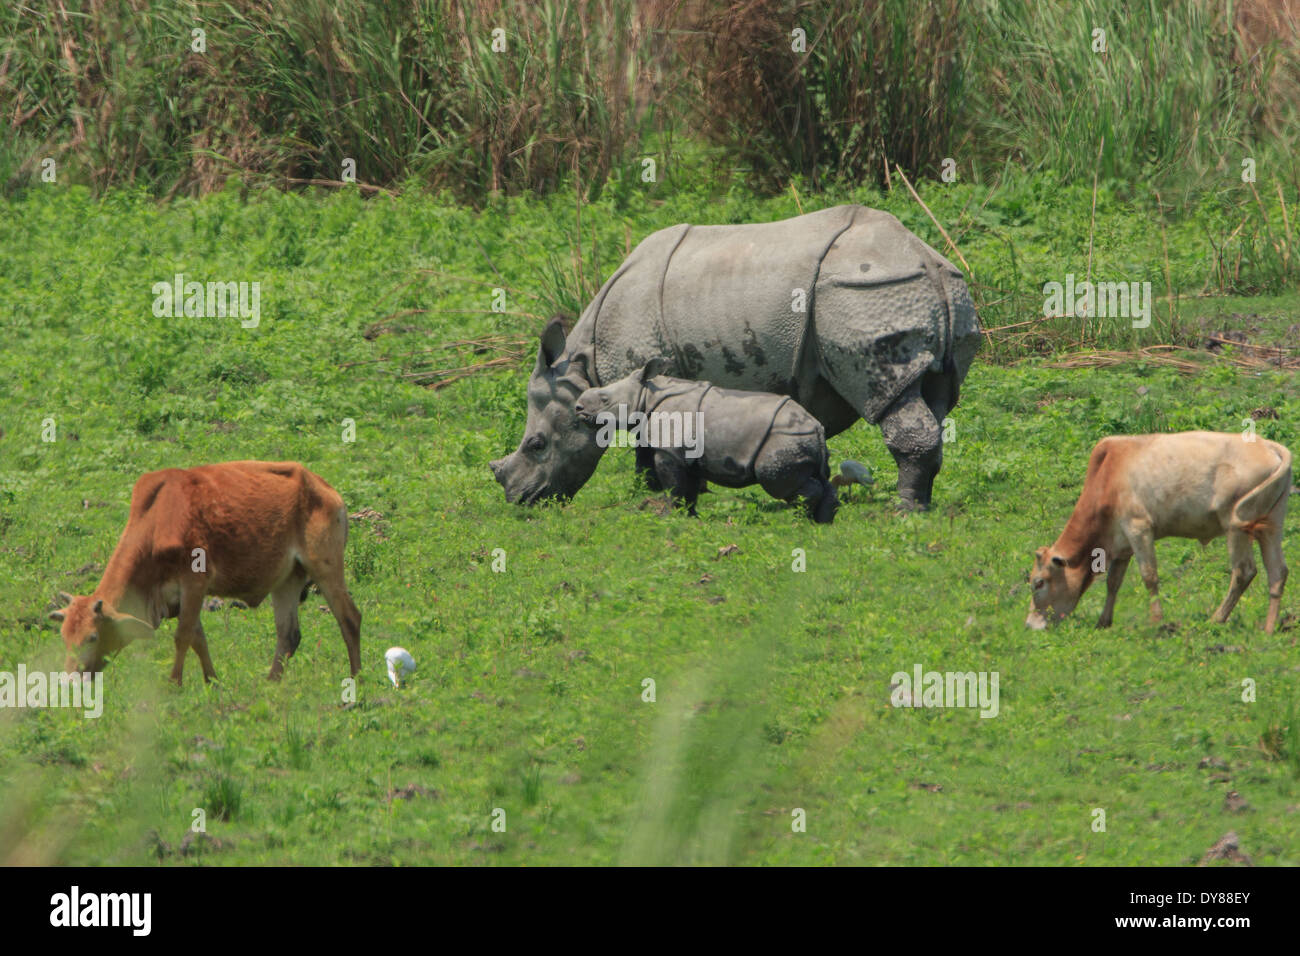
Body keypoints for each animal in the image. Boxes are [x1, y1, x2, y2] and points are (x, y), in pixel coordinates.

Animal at [50, 463, 361, 681]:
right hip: (286, 581)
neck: (157, 521)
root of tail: (325, 489)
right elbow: (199, 639)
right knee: (288, 635)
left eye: (92, 637)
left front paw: (174, 684)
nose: (69, 680)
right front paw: (212, 681)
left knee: (349, 618)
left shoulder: (195, 584)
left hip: (326, 568)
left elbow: (183, 636)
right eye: (64, 637)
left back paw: (356, 679)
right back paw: (271, 682)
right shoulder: (178, 597)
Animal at [574, 361, 837, 522]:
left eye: (604, 399)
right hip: (800, 438)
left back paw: (798, 519)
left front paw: (667, 516)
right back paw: (823, 521)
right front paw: (691, 517)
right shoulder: (687, 454)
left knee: (774, 477)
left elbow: (673, 485)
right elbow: (689, 488)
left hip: (784, 438)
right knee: (820, 477)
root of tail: (817, 429)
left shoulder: (669, 449)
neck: (646, 394)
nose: (578, 408)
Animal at [1024, 434, 1289, 634]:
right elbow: (1113, 582)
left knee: (1244, 571)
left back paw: (1217, 619)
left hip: (1235, 524)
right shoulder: (1122, 543)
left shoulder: (1138, 527)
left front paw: (1157, 622)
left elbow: (1149, 576)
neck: (1109, 475)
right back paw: (1268, 628)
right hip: (1272, 524)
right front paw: (1104, 622)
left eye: (1039, 583)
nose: (1029, 624)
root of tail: (1269, 445)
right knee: (1277, 571)